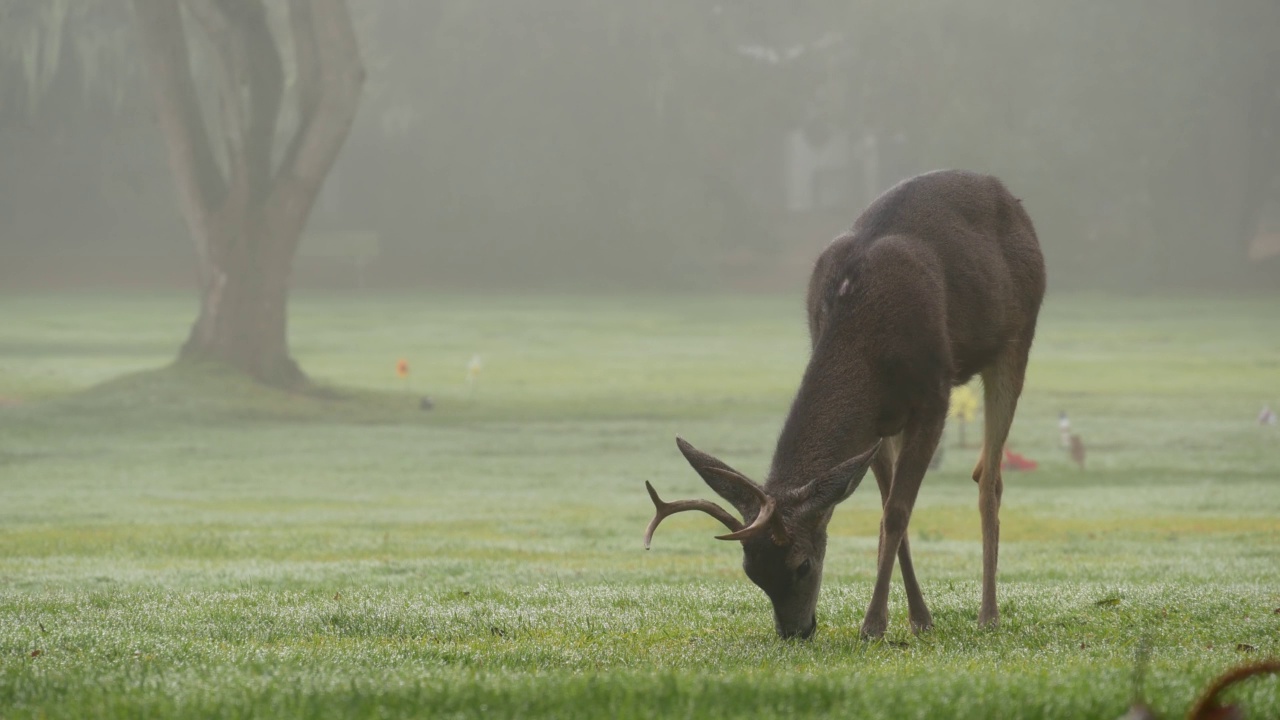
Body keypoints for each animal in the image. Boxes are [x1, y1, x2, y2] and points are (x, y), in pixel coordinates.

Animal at [645, 169, 1044, 638]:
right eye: (751, 572)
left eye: (802, 566)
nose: (795, 632)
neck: (866, 340)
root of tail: (1008, 196)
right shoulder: (873, 423)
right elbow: (889, 512)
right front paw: (916, 618)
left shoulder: (935, 393)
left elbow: (897, 511)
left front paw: (872, 624)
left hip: (1016, 337)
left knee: (989, 478)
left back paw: (989, 614)